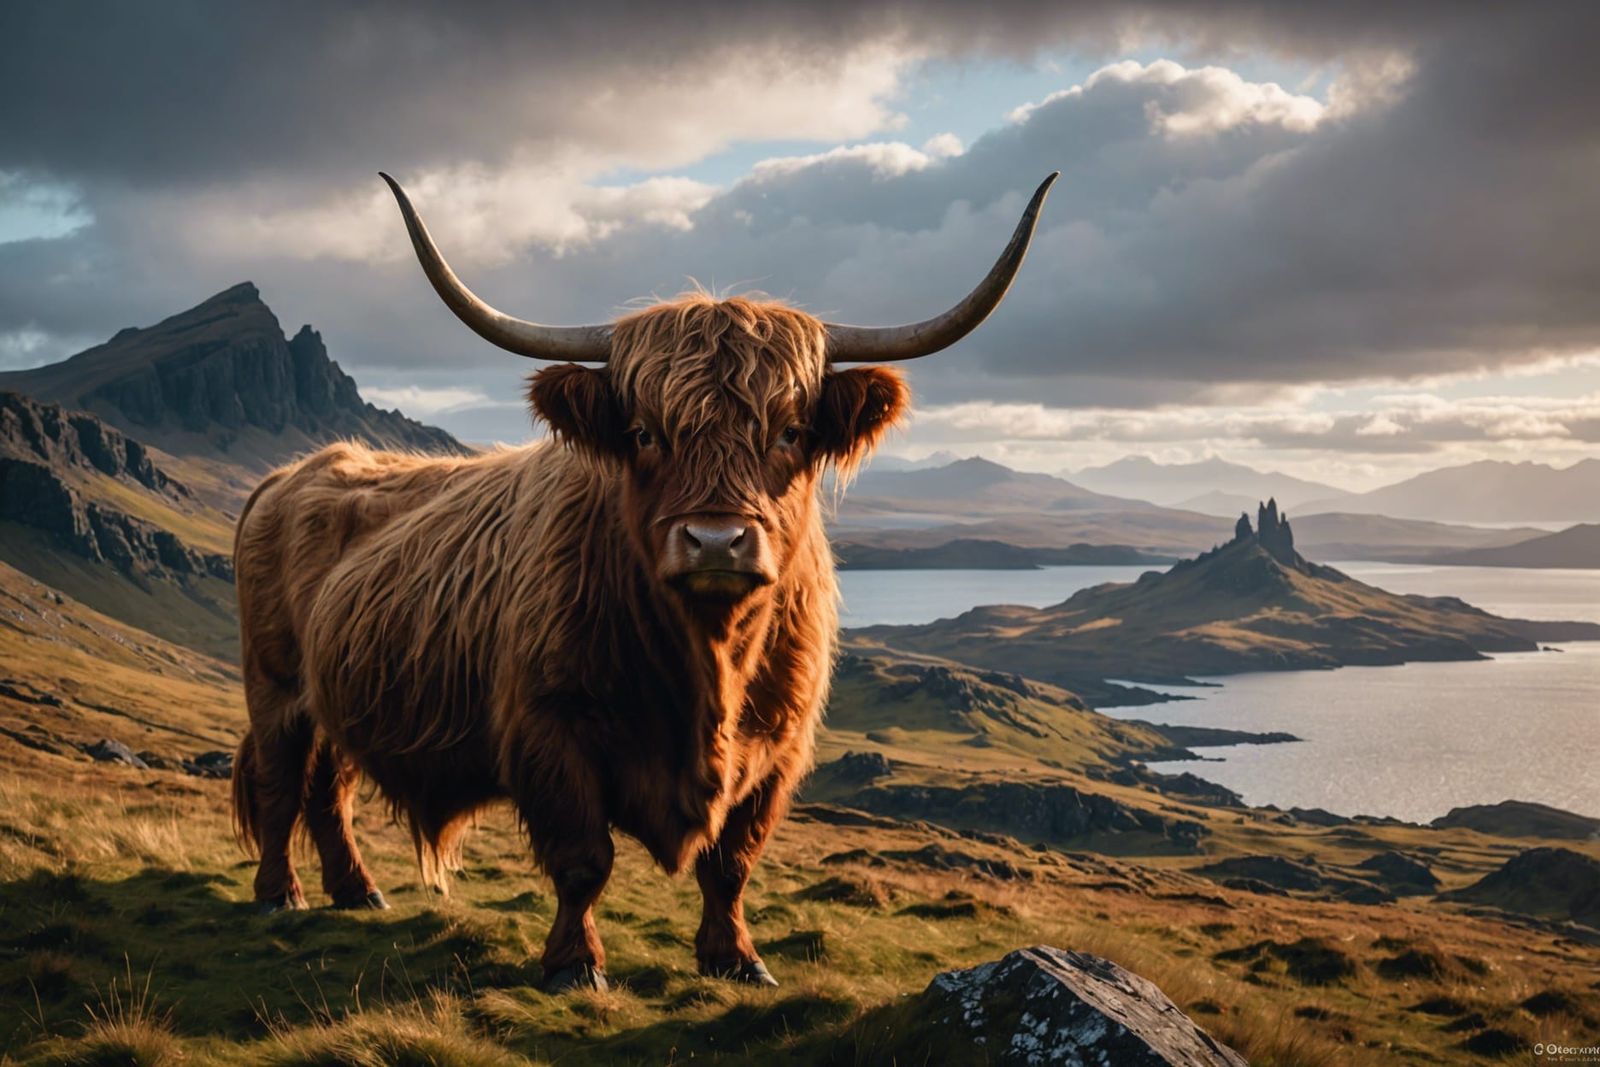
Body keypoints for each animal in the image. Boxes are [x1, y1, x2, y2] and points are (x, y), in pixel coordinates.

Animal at [230, 170, 1056, 992]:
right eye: (645, 432)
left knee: (328, 789)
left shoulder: (779, 750)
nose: (717, 540)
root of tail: (292, 472)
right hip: (275, 684)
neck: (706, 664)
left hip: (340, 690)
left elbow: (731, 862)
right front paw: (574, 964)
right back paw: (279, 894)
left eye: (790, 431)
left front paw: (736, 957)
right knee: (280, 784)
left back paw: (356, 889)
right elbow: (583, 860)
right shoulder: (549, 729)